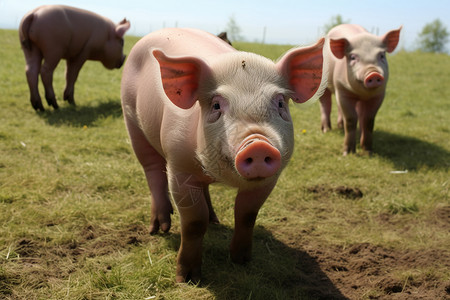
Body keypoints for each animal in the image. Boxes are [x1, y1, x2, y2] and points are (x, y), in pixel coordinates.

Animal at [120, 27, 326, 282]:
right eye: (217, 105)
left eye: (280, 103)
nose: (258, 144)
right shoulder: (179, 167)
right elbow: (193, 223)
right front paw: (187, 278)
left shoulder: (269, 179)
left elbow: (247, 214)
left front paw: (241, 261)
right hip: (131, 117)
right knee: (152, 170)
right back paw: (159, 229)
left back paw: (214, 219)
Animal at [318, 23, 402, 155]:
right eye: (353, 57)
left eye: (382, 55)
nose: (373, 74)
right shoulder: (342, 90)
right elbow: (351, 119)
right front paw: (347, 153)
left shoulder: (378, 95)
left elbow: (368, 120)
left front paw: (368, 152)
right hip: (324, 83)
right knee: (325, 103)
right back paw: (327, 130)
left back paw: (340, 126)